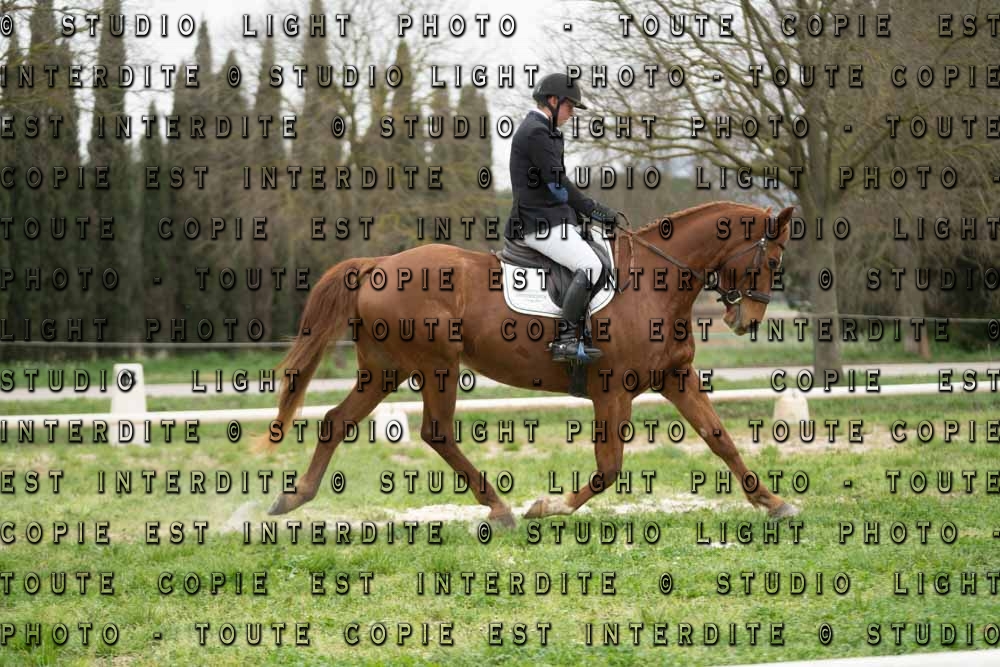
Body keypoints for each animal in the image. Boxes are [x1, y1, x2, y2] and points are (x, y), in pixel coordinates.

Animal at [257, 200, 797, 528]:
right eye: (772, 262)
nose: (747, 321)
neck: (655, 282)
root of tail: (377, 266)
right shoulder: (612, 389)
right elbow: (609, 467)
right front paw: (548, 505)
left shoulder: (675, 377)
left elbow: (720, 440)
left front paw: (774, 502)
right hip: (435, 366)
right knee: (436, 432)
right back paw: (500, 508)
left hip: (385, 369)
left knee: (336, 421)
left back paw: (293, 497)